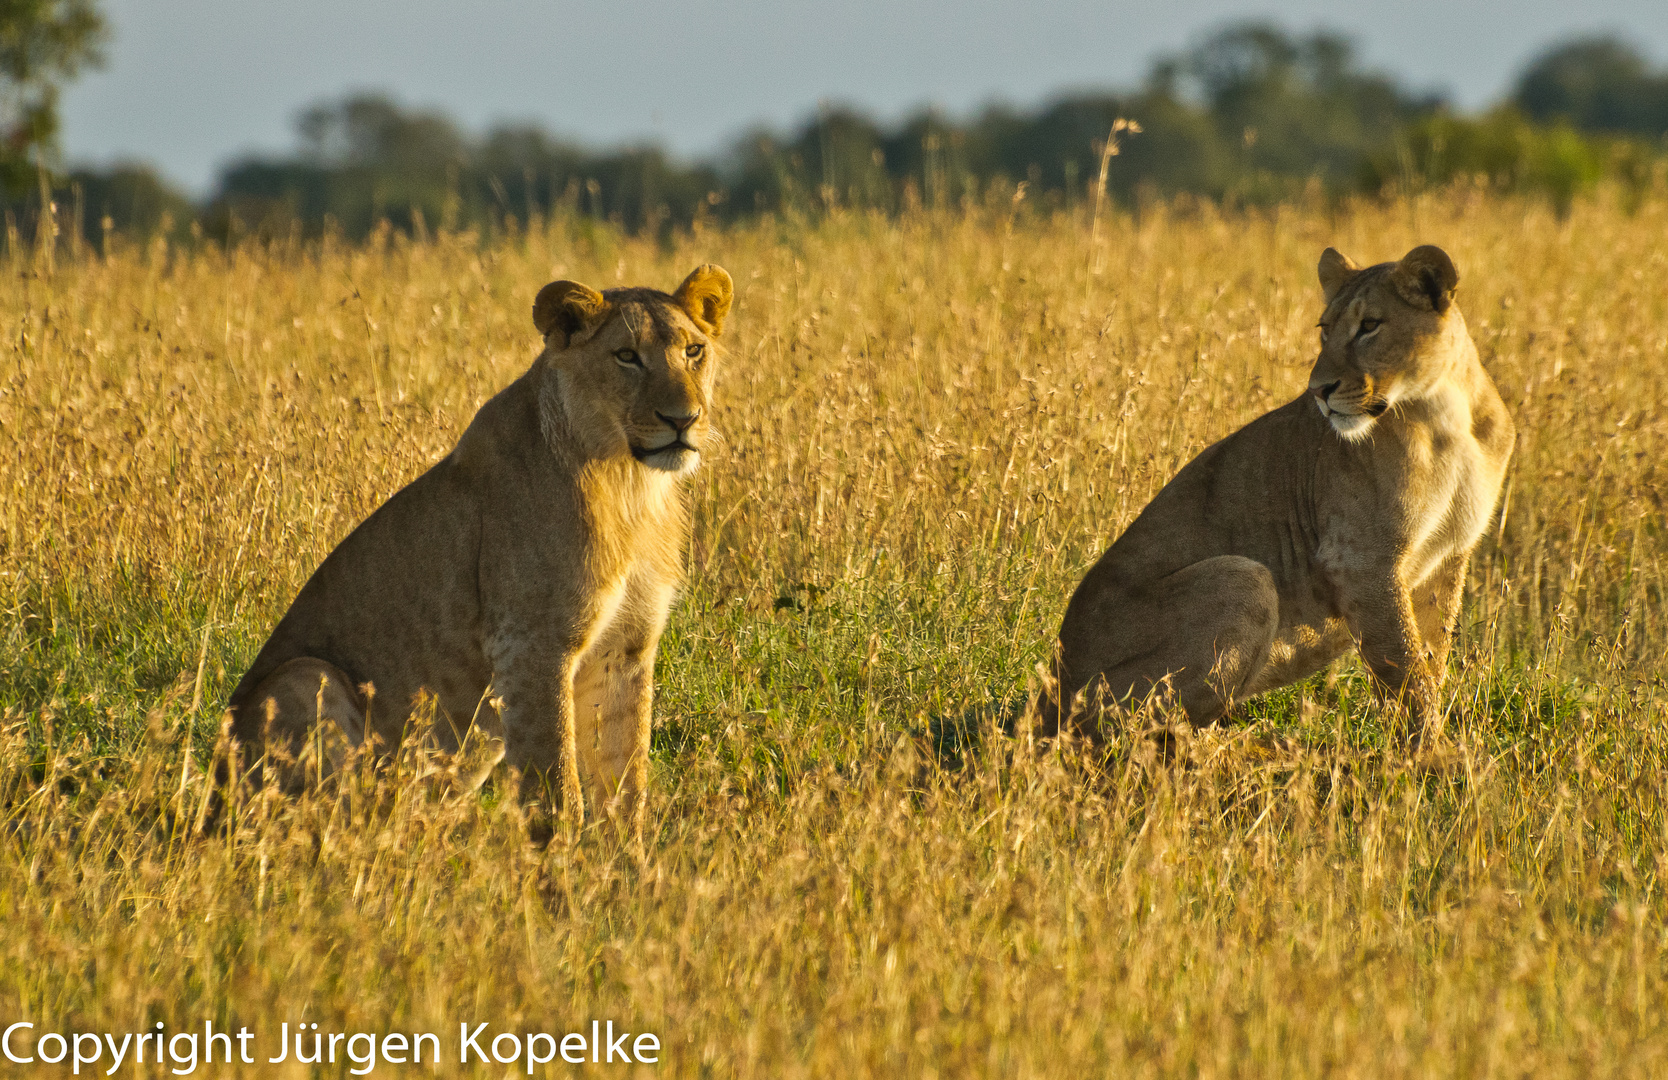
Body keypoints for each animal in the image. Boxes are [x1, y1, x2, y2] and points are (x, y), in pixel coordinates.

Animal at [225, 265, 733, 831]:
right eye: (627, 356)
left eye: (693, 351)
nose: (683, 420)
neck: (629, 484)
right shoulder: (534, 644)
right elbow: (557, 781)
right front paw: (562, 852)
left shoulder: (626, 650)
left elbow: (626, 782)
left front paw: (626, 852)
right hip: (306, 677)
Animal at [1040, 245, 1514, 744]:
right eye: (1325, 328)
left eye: (1370, 325)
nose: (1319, 391)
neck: (1444, 415)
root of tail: (1050, 693)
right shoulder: (1363, 559)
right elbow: (1405, 670)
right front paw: (1430, 752)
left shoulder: (1449, 556)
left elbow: (1430, 659)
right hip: (1243, 578)